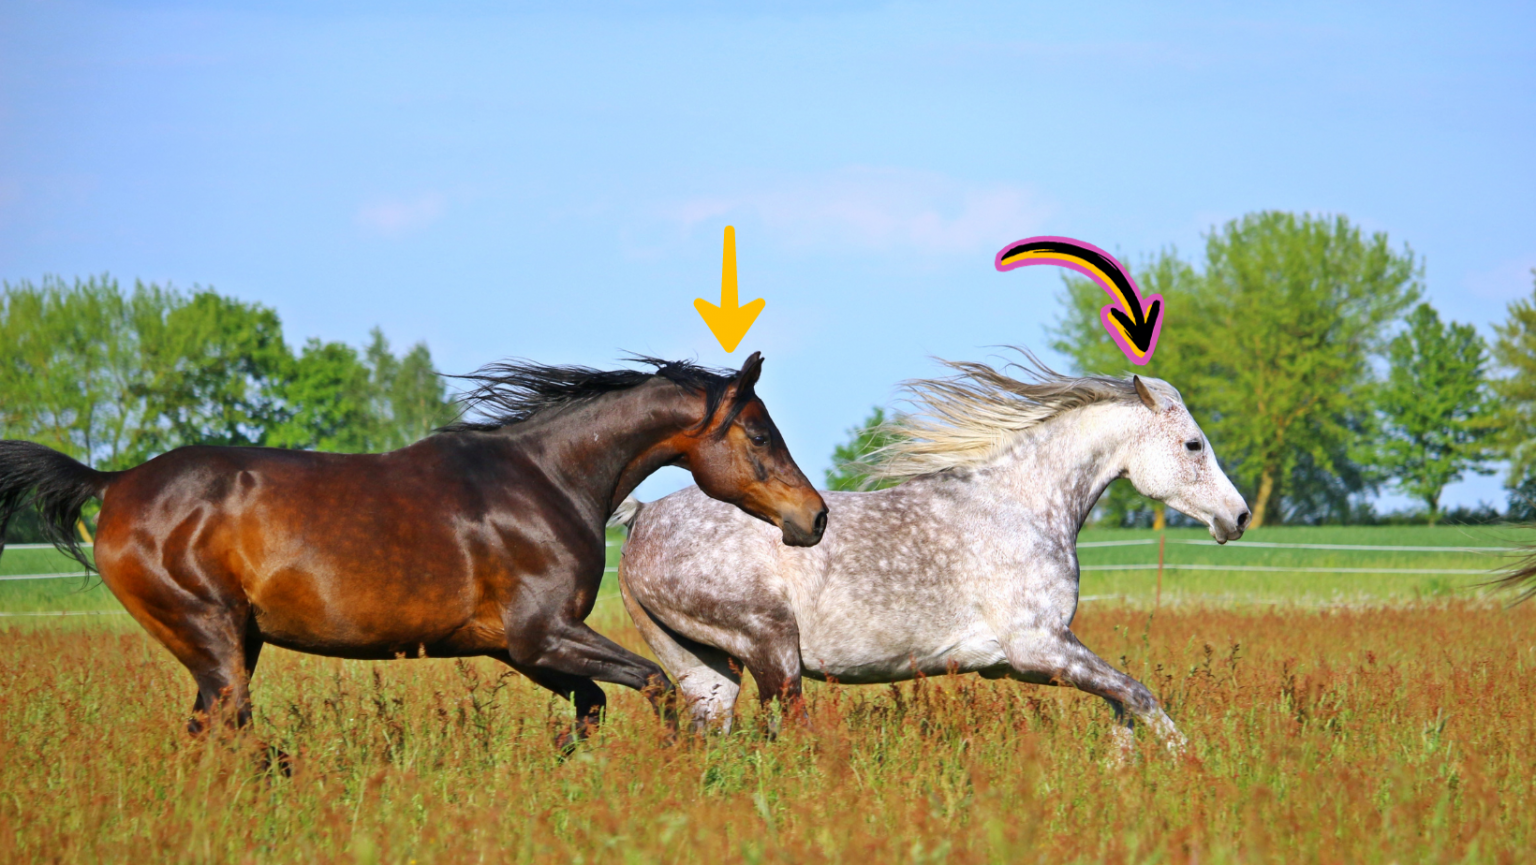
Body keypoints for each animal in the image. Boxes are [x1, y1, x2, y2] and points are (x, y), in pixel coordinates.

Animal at [0, 352, 827, 746]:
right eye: (759, 433)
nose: (814, 517)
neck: (547, 478)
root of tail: (115, 482)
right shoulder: (543, 634)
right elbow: (655, 684)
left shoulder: (516, 647)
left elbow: (591, 705)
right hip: (212, 639)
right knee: (227, 730)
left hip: (232, 643)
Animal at [613, 354, 1249, 749]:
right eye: (1194, 445)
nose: (1238, 516)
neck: (1021, 504)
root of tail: (641, 517)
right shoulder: (1038, 647)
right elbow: (1139, 695)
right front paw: (1189, 767)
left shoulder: (1022, 661)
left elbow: (1123, 703)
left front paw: (1122, 768)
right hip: (773, 649)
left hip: (707, 670)